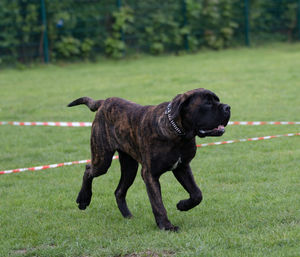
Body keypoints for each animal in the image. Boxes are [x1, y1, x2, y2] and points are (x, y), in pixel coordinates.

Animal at [68, 87, 232, 230]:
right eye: (207, 103)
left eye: (217, 100)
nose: (228, 107)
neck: (178, 134)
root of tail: (104, 102)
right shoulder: (150, 174)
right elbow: (158, 204)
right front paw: (166, 226)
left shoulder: (182, 167)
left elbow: (197, 194)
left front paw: (182, 205)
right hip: (103, 159)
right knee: (88, 170)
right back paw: (83, 199)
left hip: (130, 167)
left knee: (119, 191)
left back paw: (128, 216)